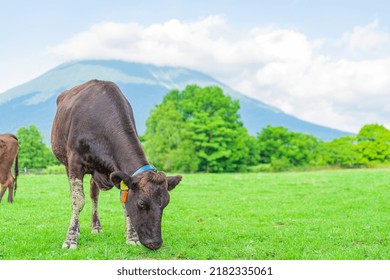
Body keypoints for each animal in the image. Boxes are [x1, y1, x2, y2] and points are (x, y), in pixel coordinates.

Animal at [51, 80, 183, 250]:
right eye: (141, 203)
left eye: (165, 203)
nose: (155, 243)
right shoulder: (75, 162)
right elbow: (78, 200)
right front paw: (70, 239)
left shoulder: (120, 173)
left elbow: (124, 203)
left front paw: (131, 237)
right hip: (67, 164)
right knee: (75, 196)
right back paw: (78, 228)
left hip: (94, 173)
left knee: (94, 194)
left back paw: (96, 226)